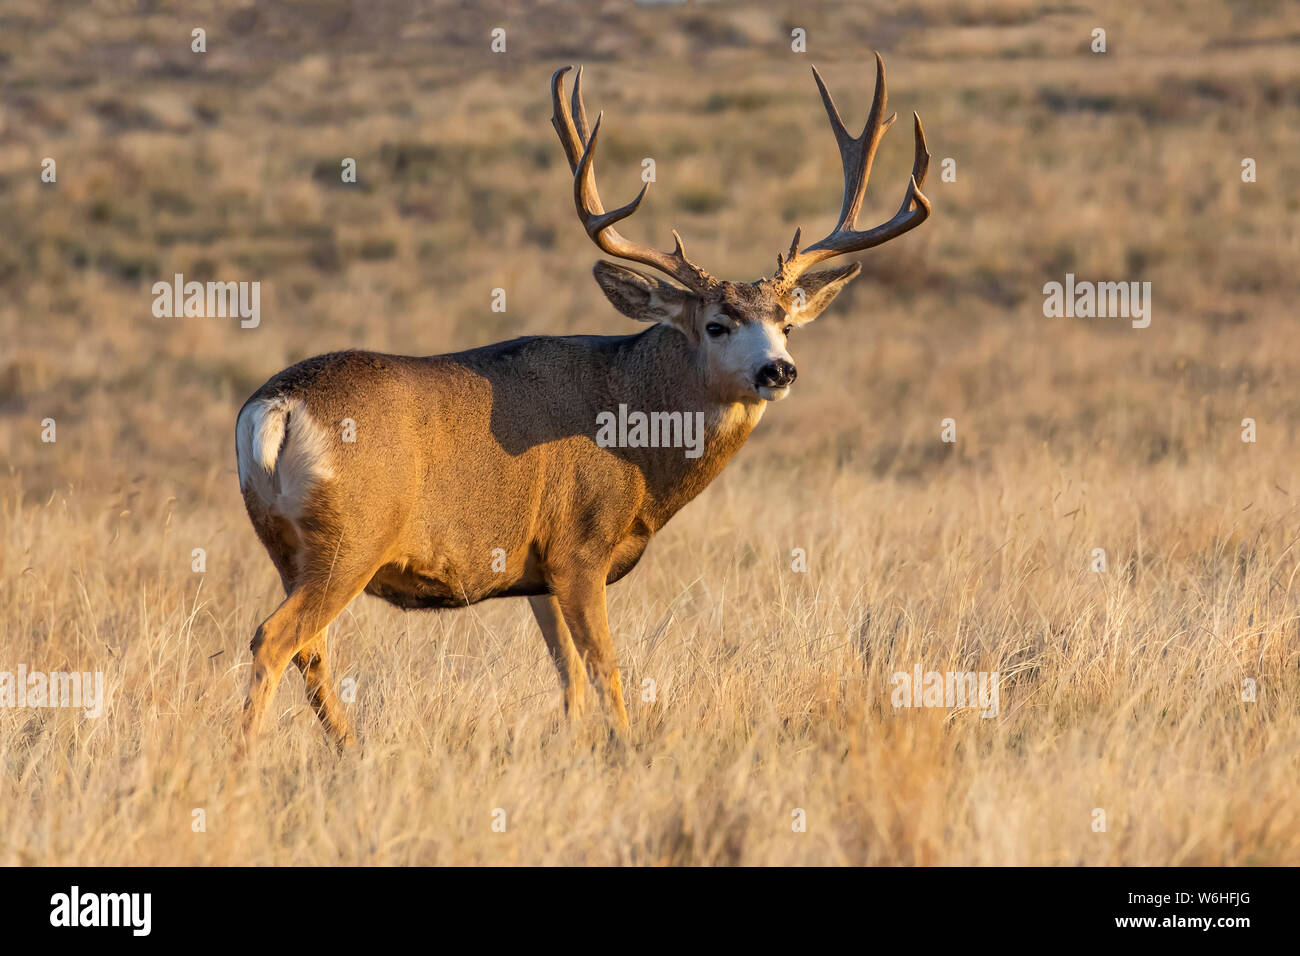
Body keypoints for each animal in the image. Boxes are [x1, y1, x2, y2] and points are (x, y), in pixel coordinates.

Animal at [234, 54, 931, 752]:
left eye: (787, 323)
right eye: (716, 325)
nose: (778, 369)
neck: (637, 436)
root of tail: (275, 408)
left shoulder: (534, 568)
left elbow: (566, 673)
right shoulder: (579, 545)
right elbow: (604, 667)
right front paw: (626, 746)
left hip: (288, 546)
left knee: (310, 649)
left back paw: (348, 751)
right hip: (353, 538)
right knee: (275, 639)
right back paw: (248, 756)